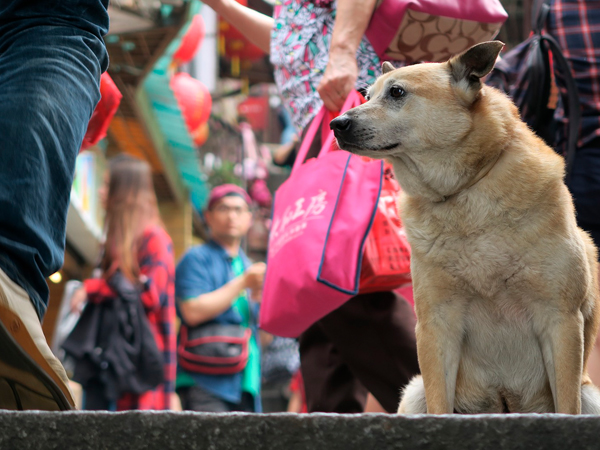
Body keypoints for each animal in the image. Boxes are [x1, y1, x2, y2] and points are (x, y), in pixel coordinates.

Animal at [330, 42, 600, 414]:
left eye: (397, 92)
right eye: (366, 95)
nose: (335, 123)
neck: (464, 192)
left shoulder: (560, 319)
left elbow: (566, 405)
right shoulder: (436, 324)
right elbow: (439, 404)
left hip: (591, 394)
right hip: (413, 392)